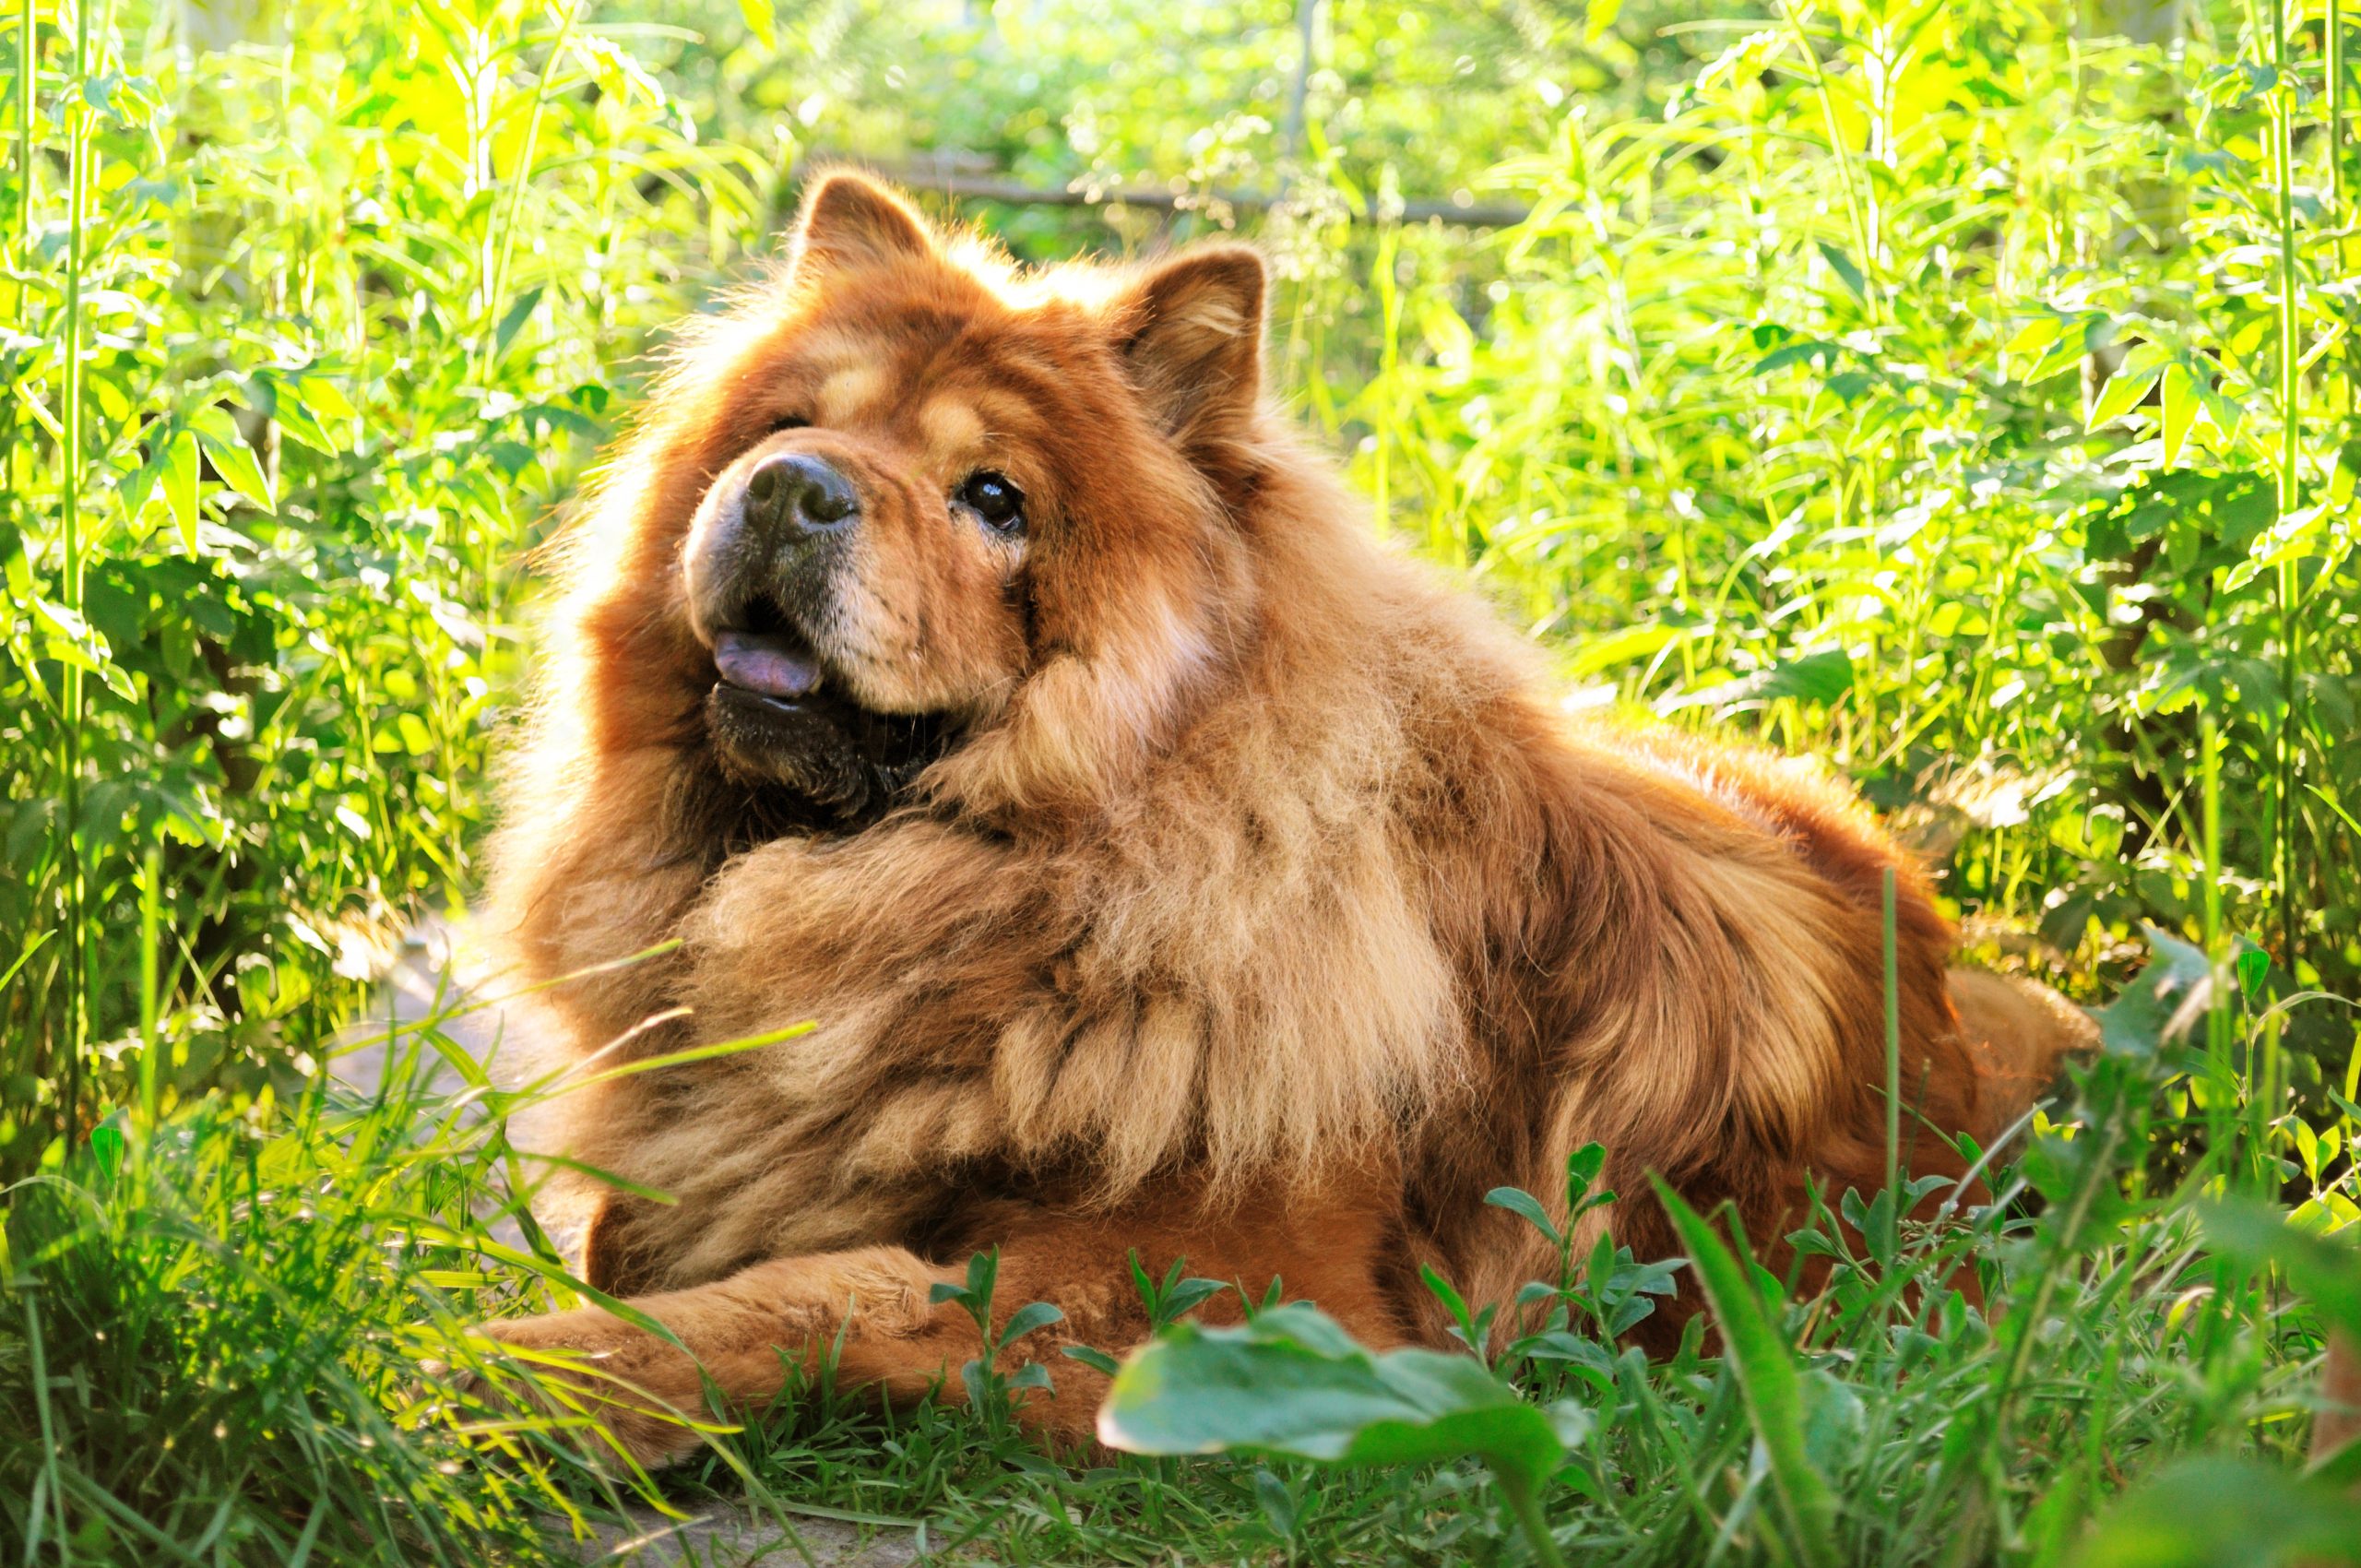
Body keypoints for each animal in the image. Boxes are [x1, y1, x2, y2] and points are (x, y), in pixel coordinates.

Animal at [474, 171, 2087, 1473]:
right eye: (795, 423)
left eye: (994, 497)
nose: (788, 488)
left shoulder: (1222, 1299)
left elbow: (802, 1299)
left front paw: (499, 1381)